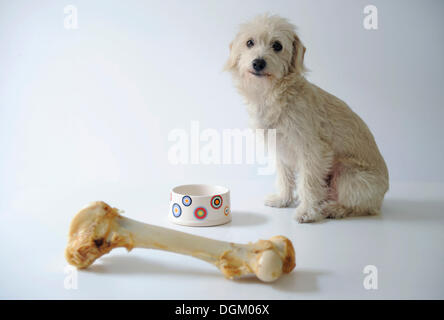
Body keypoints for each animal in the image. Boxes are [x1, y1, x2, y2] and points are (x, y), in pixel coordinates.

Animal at [225, 14, 388, 222]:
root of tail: (382, 195)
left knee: (362, 208)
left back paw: (334, 209)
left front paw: (307, 212)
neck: (273, 94)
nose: (258, 63)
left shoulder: (313, 150)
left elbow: (308, 183)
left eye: (277, 45)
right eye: (249, 42)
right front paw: (283, 199)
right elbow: (284, 177)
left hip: (347, 173)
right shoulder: (280, 149)